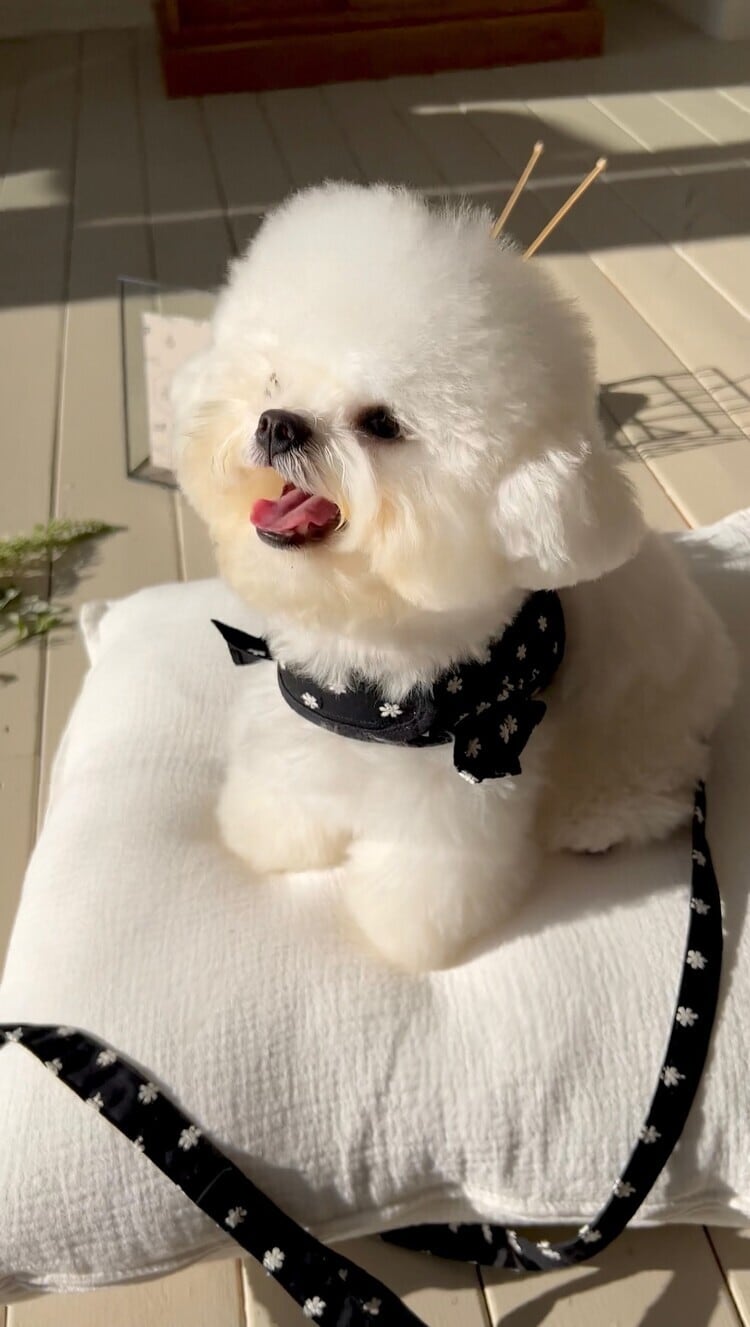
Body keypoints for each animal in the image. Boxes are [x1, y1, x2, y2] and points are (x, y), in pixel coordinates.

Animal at [173, 183, 737, 972]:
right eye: (273, 380)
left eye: (381, 423)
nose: (278, 423)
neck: (371, 646)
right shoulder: (301, 713)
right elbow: (290, 780)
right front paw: (268, 834)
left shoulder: (467, 766)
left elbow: (429, 865)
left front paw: (404, 931)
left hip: (644, 717)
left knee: (653, 778)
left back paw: (596, 815)